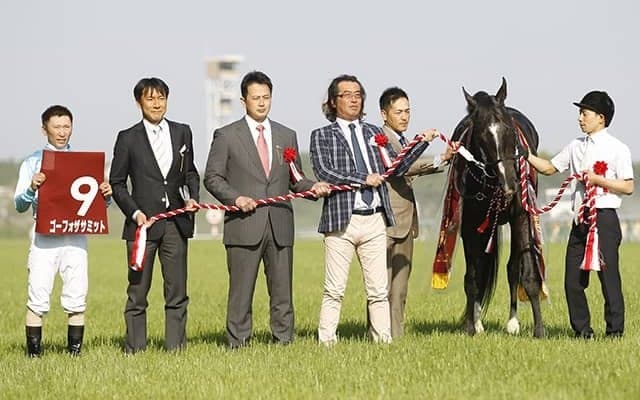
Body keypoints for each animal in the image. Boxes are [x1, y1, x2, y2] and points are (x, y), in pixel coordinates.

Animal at [446, 78, 545, 338]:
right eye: (481, 135)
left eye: (509, 130)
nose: (510, 184)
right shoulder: (470, 226)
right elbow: (473, 277)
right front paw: (471, 326)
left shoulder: (521, 217)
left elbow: (526, 273)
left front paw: (539, 329)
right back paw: (479, 321)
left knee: (512, 269)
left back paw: (512, 322)